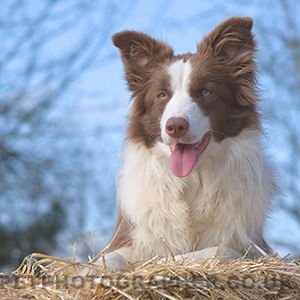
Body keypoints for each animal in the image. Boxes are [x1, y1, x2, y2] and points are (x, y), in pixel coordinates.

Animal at [85, 16, 276, 274]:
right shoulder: (129, 236)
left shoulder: (253, 246)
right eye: (161, 95)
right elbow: (108, 258)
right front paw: (90, 270)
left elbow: (213, 251)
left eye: (205, 92)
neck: (190, 181)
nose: (175, 126)